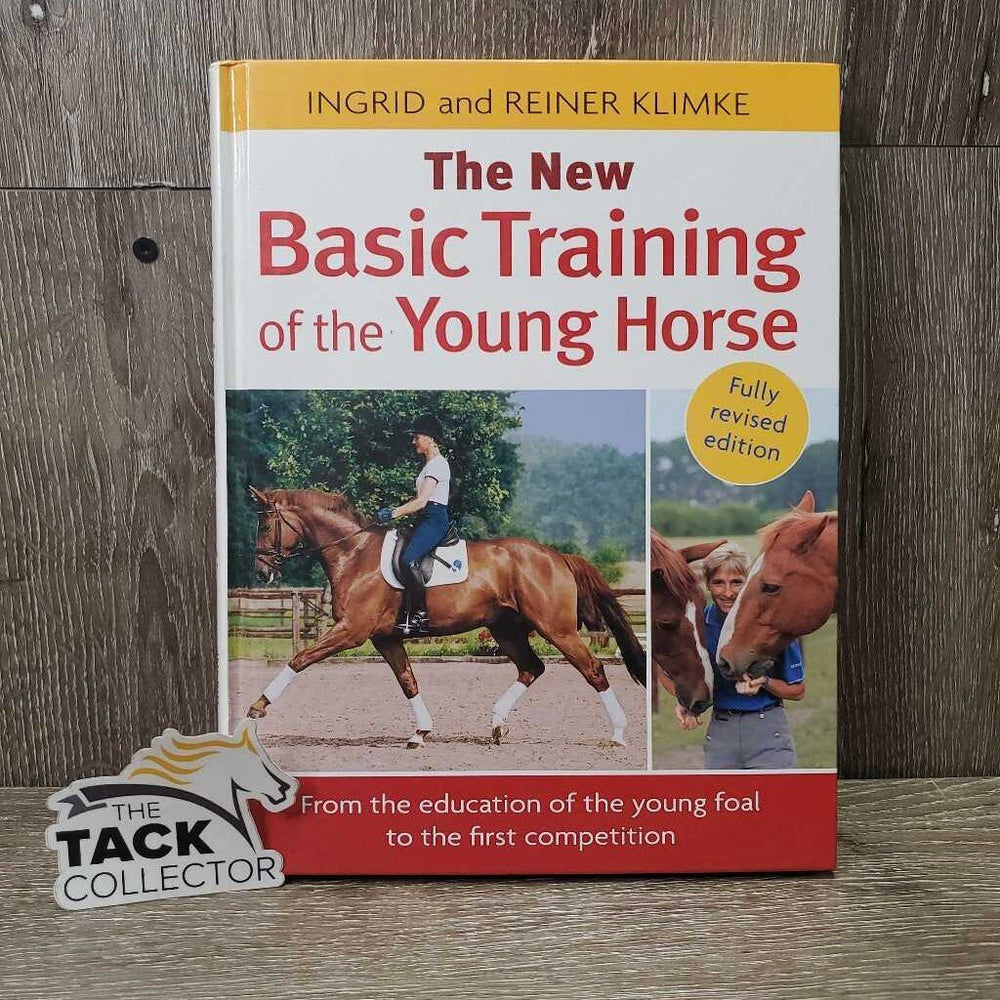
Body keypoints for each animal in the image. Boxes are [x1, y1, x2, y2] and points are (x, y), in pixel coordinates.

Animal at [245, 486, 646, 747]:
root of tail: (558, 556)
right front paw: (420, 733)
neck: (354, 553)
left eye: (265, 525)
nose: (261, 572)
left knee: (592, 670)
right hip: (504, 628)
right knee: (531, 668)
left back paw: (618, 734)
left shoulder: (352, 631)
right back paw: (497, 726)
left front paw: (257, 708)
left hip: (556, 629)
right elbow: (408, 681)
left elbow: (299, 659)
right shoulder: (384, 637)